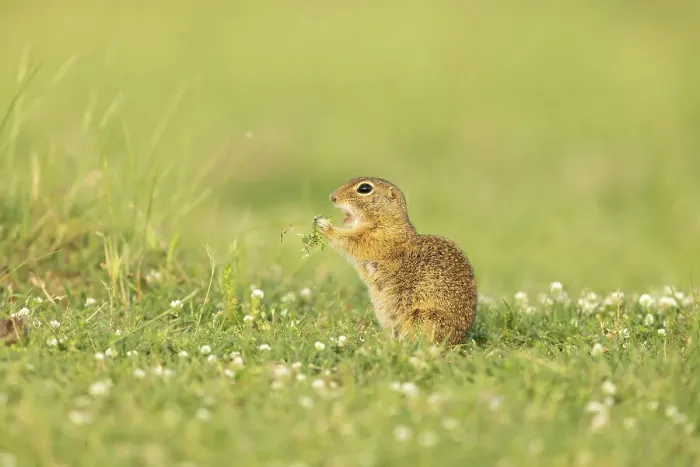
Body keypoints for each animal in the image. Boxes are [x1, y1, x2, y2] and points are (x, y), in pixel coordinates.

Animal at [313, 177, 477, 346]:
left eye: (364, 188)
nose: (332, 197)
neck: (389, 221)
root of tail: (457, 340)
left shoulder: (375, 239)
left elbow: (350, 241)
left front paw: (324, 225)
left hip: (422, 318)